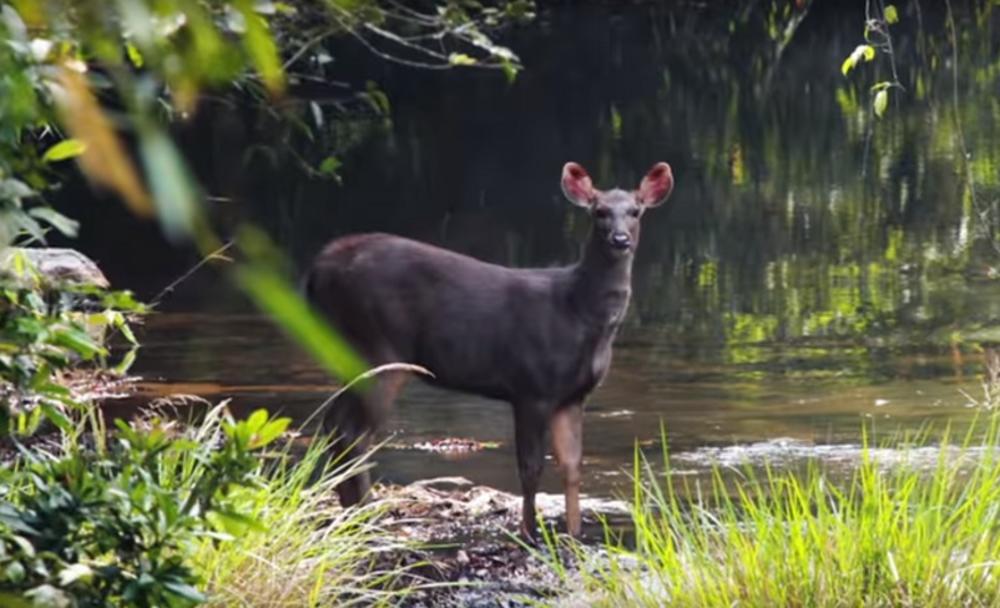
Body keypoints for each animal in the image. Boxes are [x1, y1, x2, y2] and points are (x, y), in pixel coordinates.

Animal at [305, 161, 674, 539]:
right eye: (599, 212)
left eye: (635, 211)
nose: (620, 239)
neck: (579, 311)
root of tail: (319, 268)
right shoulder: (532, 385)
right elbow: (530, 467)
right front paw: (530, 533)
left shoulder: (572, 396)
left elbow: (572, 466)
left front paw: (573, 535)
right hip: (379, 344)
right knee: (353, 432)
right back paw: (364, 516)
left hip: (349, 347)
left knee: (334, 422)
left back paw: (354, 514)